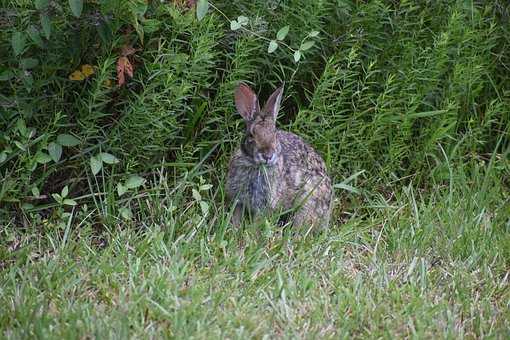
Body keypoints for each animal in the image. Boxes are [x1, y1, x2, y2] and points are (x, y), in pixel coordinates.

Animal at [226, 83, 330, 230]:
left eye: (275, 134)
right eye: (251, 135)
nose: (267, 155)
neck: (254, 164)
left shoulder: (265, 204)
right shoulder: (238, 199)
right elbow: (236, 215)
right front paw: (234, 229)